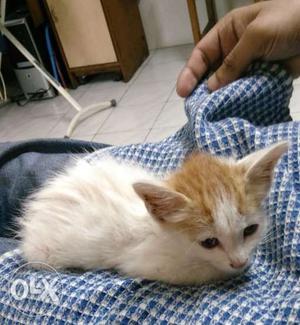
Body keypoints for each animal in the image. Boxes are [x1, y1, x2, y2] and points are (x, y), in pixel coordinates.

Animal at [19, 142, 288, 284]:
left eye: (250, 230)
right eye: (209, 242)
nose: (239, 261)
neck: (166, 234)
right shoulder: (146, 263)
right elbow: (205, 273)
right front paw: (231, 271)